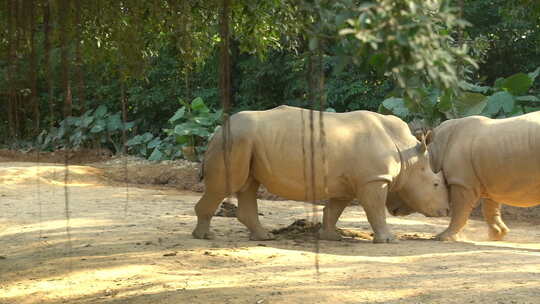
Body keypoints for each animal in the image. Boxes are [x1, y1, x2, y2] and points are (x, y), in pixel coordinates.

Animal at [192, 105, 450, 243]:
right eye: (436, 184)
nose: (446, 211)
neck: (407, 155)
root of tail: (217, 131)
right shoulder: (373, 179)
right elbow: (375, 210)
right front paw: (388, 240)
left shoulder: (350, 183)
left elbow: (335, 209)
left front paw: (330, 237)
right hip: (236, 140)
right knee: (226, 186)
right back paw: (204, 237)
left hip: (245, 142)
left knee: (248, 185)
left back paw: (264, 237)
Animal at [428, 113, 540, 241]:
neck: (435, 149)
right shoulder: (492, 180)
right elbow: (490, 208)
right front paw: (497, 235)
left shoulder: (462, 182)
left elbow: (459, 210)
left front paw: (443, 237)